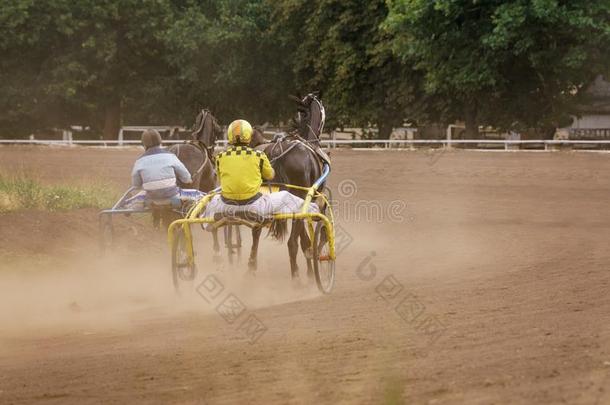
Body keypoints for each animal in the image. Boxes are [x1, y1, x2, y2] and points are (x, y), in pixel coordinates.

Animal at [246, 93, 326, 280]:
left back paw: (252, 267)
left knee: (256, 232)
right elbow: (303, 237)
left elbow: (304, 238)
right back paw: (296, 275)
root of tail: (278, 151)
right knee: (291, 243)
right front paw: (310, 271)